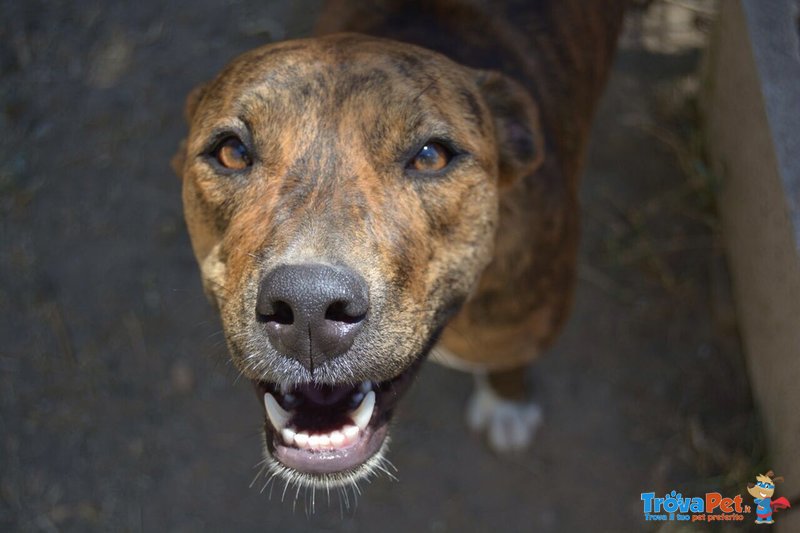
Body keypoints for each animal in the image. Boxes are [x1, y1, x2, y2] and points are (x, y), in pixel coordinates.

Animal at [173, 0, 624, 488]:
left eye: (431, 156)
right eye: (232, 151)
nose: (308, 307)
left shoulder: (516, 328)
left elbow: (509, 361)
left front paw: (508, 404)